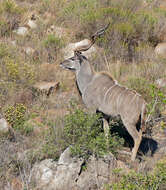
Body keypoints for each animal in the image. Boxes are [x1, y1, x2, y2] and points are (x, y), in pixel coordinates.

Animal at [60, 23, 147, 160]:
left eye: (73, 58)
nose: (61, 63)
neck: (89, 81)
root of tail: (143, 102)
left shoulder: (91, 109)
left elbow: (88, 127)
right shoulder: (105, 115)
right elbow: (106, 131)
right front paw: (106, 148)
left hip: (128, 122)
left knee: (138, 137)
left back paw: (132, 159)